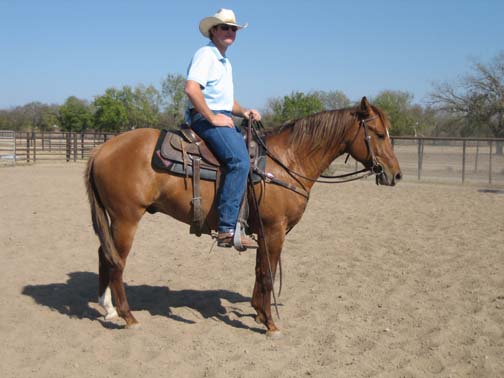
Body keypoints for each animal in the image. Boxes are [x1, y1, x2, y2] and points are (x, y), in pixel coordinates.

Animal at [85, 96, 402, 336]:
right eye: (379, 134)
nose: (395, 174)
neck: (287, 161)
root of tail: (102, 148)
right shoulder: (274, 230)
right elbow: (268, 275)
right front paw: (270, 323)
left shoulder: (264, 231)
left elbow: (260, 270)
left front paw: (259, 312)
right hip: (126, 219)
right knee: (117, 262)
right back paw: (127, 316)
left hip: (115, 220)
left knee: (103, 254)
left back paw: (108, 309)